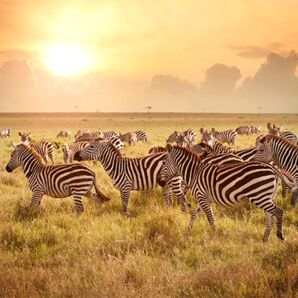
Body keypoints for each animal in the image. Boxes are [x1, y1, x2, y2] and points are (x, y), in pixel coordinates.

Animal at [162, 146, 294, 242]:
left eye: (163, 164)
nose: (161, 181)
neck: (195, 173)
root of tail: (272, 168)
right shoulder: (204, 198)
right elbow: (194, 214)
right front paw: (188, 230)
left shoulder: (202, 197)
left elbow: (210, 218)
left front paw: (215, 235)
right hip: (267, 196)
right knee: (270, 214)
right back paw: (265, 238)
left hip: (260, 196)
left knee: (278, 211)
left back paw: (280, 236)